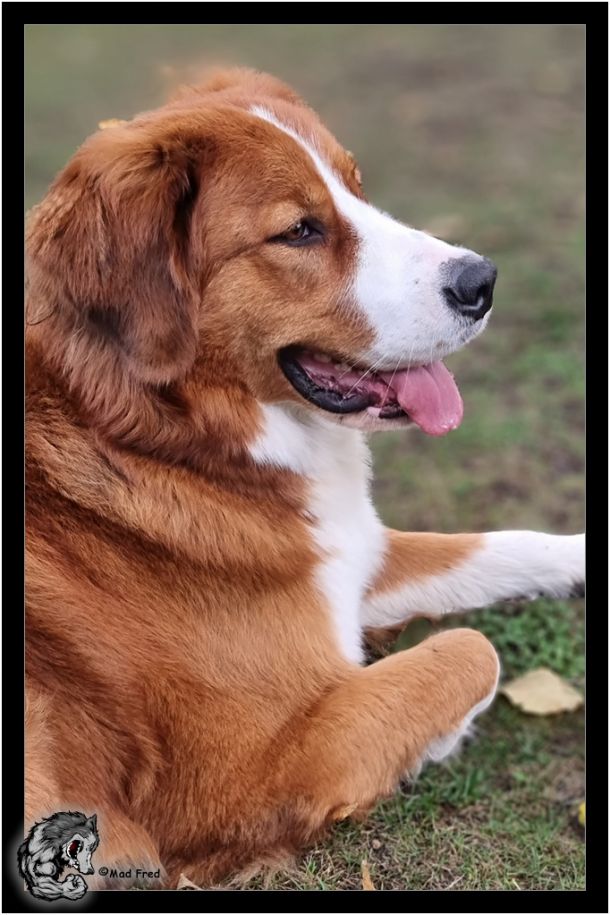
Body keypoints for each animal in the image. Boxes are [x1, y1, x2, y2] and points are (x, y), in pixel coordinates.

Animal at [25, 68, 584, 888]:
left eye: (357, 187)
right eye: (299, 232)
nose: (483, 280)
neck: (163, 442)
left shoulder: (347, 558)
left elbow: (501, 545)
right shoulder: (231, 780)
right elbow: (468, 651)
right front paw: (432, 744)